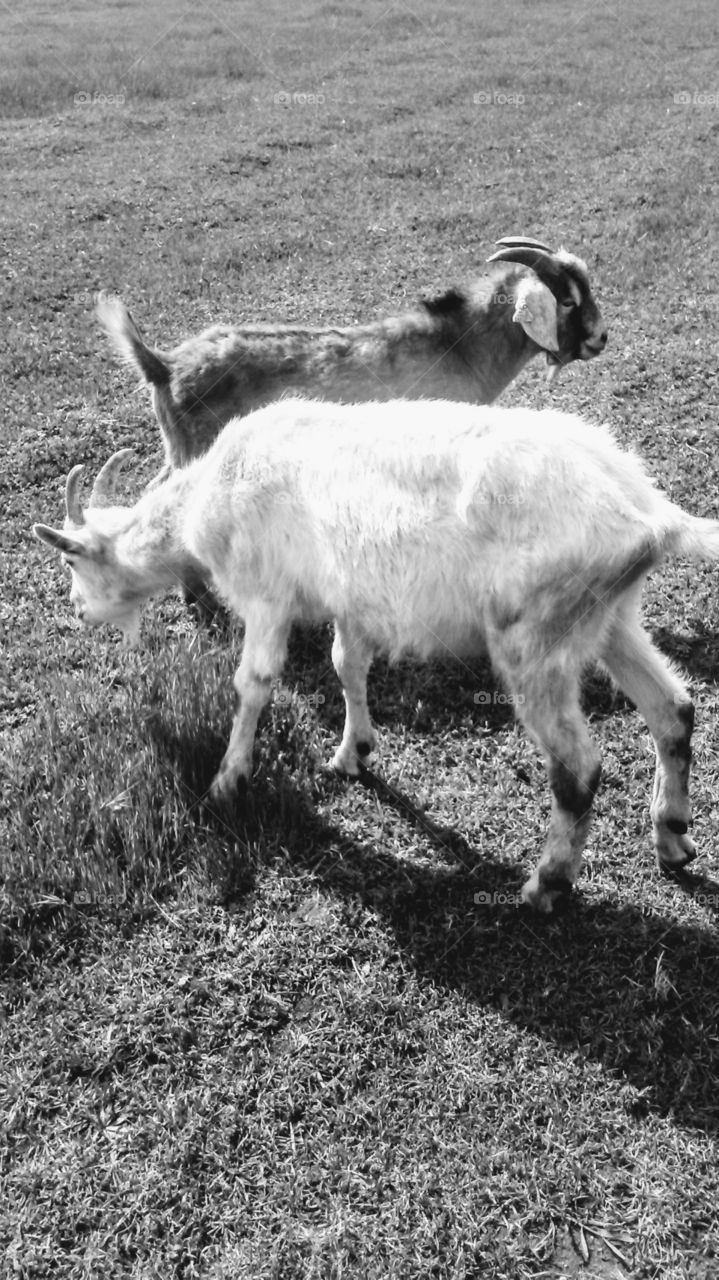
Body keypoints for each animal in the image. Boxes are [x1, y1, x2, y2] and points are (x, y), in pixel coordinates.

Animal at [33, 396, 711, 915]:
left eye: (71, 561)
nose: (76, 609)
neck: (210, 493)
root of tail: (646, 513)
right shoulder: (350, 601)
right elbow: (346, 664)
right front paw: (352, 753)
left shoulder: (267, 596)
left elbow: (254, 681)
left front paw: (228, 780)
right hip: (612, 618)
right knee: (673, 708)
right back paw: (673, 837)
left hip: (535, 634)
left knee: (579, 767)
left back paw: (546, 883)